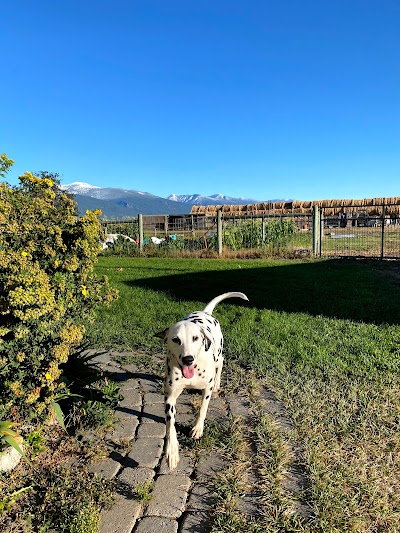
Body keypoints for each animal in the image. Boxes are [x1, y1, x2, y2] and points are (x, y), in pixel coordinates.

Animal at [155, 290, 247, 470]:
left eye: (195, 338)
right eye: (175, 339)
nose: (188, 359)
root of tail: (205, 312)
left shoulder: (206, 389)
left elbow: (203, 409)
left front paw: (198, 428)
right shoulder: (169, 397)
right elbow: (170, 424)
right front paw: (172, 452)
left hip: (218, 353)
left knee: (221, 360)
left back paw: (218, 382)